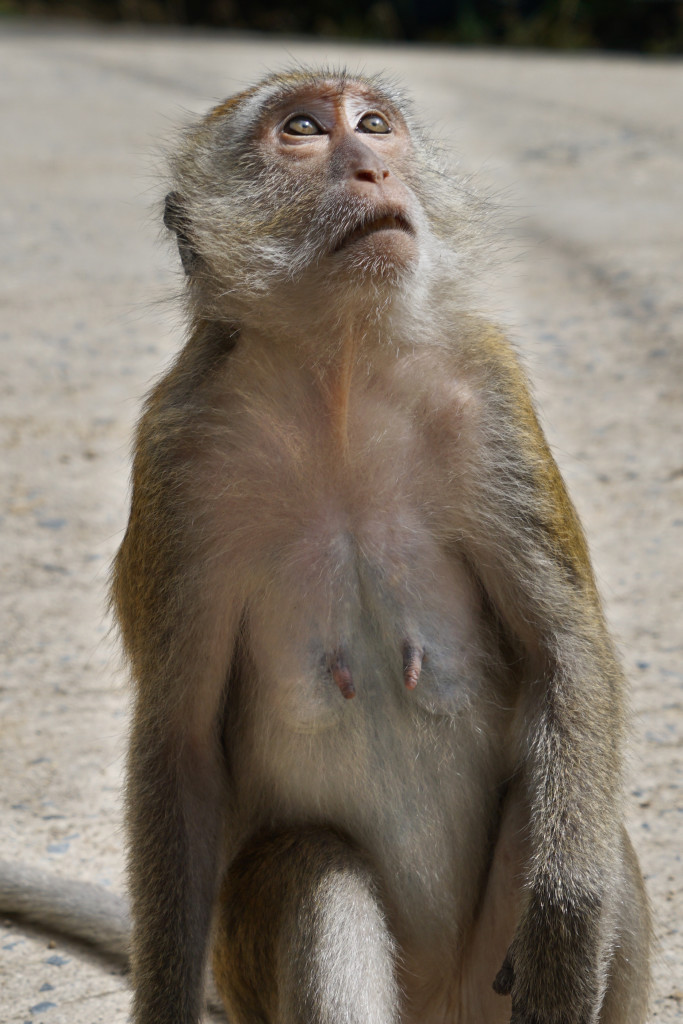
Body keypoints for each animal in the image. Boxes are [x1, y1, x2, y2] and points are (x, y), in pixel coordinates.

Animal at [2, 66, 651, 1024]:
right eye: (304, 130)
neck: (336, 373)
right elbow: (179, 745)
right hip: (251, 956)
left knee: (591, 843)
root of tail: (440, 1007)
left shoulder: (487, 392)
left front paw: (569, 917)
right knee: (313, 867)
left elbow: (563, 648)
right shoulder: (176, 461)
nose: (372, 169)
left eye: (375, 125)